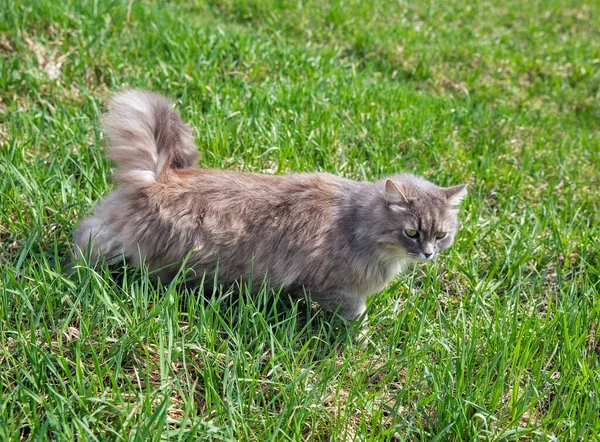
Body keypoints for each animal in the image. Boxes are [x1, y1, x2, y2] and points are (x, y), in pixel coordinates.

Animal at [74, 88, 468, 320]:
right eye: (412, 233)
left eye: (441, 235)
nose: (428, 253)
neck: (357, 222)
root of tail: (159, 177)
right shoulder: (331, 285)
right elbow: (357, 311)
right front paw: (361, 334)